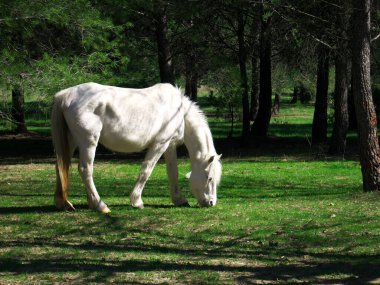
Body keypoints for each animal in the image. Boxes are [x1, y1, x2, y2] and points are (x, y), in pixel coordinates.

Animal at [52, 81, 221, 211]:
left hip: (71, 141)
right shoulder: (160, 144)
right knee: (85, 169)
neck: (179, 111)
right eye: (209, 178)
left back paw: (65, 203)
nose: (211, 202)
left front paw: (179, 199)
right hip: (88, 142)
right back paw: (100, 205)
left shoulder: (170, 145)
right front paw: (137, 201)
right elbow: (146, 171)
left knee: (61, 166)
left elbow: (173, 173)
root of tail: (65, 95)